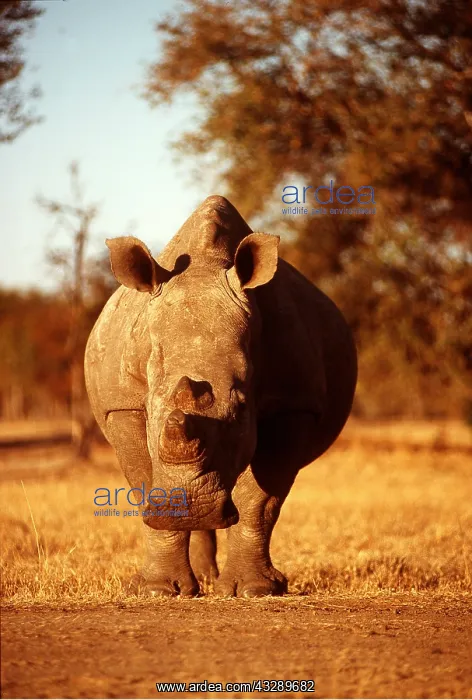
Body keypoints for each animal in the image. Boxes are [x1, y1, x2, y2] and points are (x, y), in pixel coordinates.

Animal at [84, 195, 357, 597]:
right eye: (151, 409)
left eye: (242, 408)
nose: (190, 507)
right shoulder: (123, 404)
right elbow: (145, 484)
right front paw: (157, 590)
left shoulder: (293, 404)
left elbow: (260, 500)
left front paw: (255, 590)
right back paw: (201, 579)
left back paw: (212, 579)